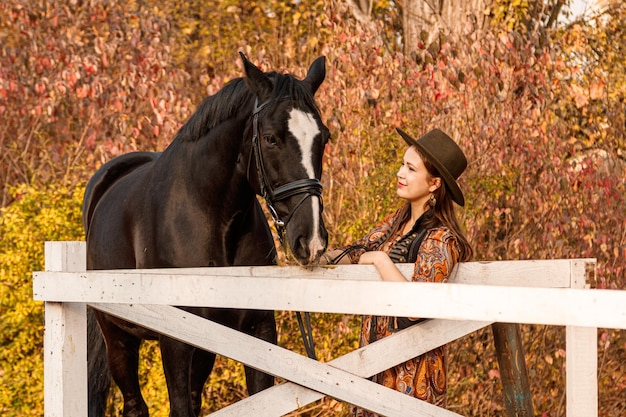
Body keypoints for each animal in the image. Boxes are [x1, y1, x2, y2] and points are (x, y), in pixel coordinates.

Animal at [83, 54, 330, 416]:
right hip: (118, 337)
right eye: (271, 138)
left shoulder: (257, 329)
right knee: (134, 404)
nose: (310, 240)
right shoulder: (175, 342)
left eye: (323, 138)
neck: (211, 217)